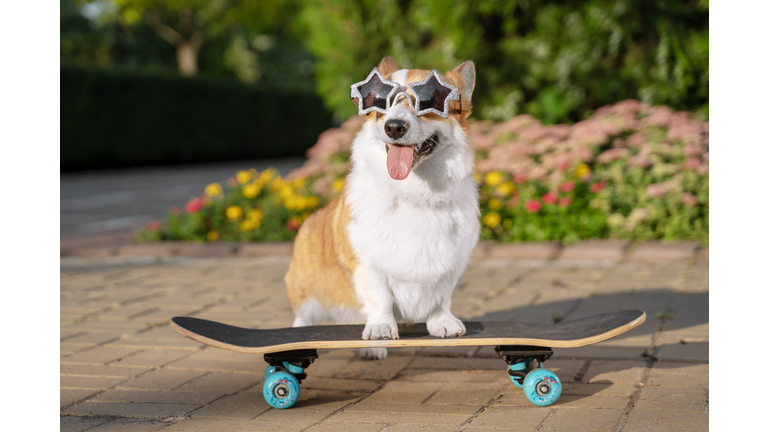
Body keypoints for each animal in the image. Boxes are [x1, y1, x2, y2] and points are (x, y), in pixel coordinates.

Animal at [284, 58, 476, 362]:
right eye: (381, 102)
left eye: (429, 101)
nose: (394, 127)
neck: (415, 193)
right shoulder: (366, 263)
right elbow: (379, 298)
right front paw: (381, 330)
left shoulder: (451, 264)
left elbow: (441, 296)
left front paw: (443, 323)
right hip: (304, 290)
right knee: (303, 319)